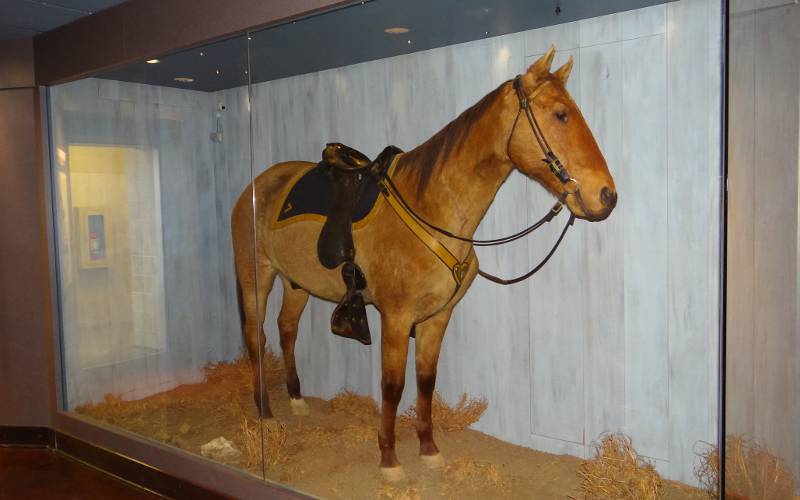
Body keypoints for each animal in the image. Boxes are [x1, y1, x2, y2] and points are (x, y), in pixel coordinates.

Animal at [231, 47, 620, 480]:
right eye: (560, 114)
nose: (606, 195)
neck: (431, 207)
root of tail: (257, 186)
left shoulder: (437, 318)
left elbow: (426, 381)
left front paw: (428, 448)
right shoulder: (396, 318)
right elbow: (393, 385)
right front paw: (389, 457)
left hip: (295, 283)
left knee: (286, 330)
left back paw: (296, 398)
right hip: (256, 278)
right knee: (256, 337)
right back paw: (265, 411)